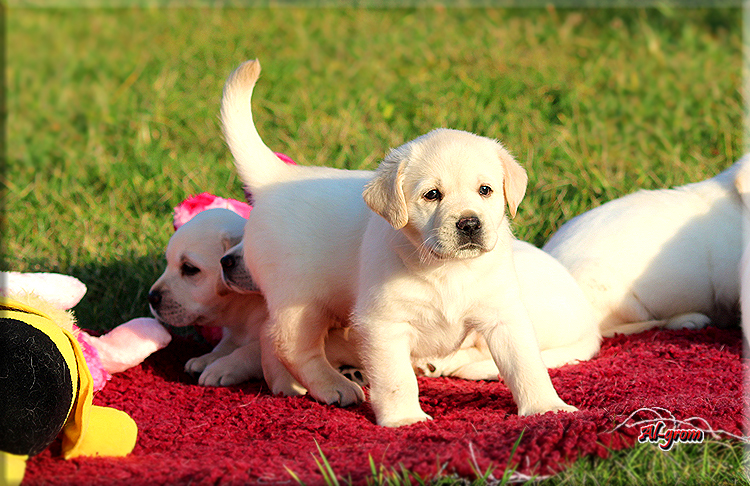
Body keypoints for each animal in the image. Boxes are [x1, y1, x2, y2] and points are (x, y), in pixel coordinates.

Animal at [148, 208, 267, 387]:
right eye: (168, 262)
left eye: (189, 268)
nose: (151, 298)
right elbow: (225, 345)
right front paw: (206, 359)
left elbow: (251, 350)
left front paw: (220, 368)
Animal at [352, 128, 581, 427]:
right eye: (432, 194)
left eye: (485, 190)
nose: (470, 224)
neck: (450, 268)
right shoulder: (384, 322)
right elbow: (396, 378)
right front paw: (405, 419)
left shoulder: (504, 314)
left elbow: (526, 364)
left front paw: (547, 407)